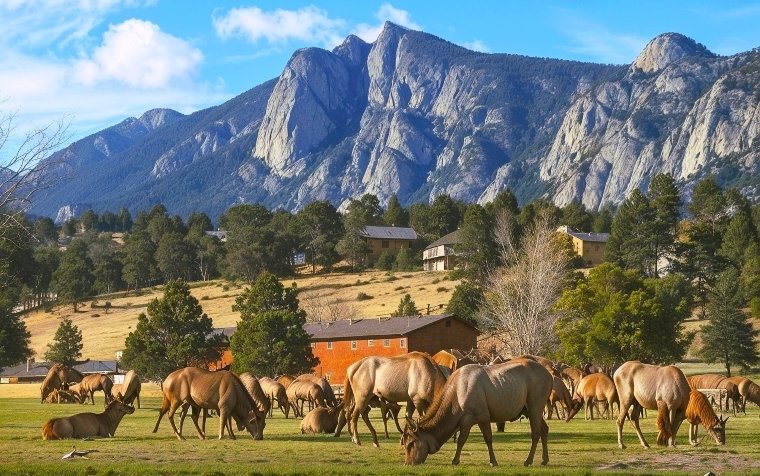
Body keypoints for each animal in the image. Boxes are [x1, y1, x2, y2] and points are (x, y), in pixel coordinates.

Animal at [402, 359, 553, 467]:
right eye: (404, 443)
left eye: (411, 443)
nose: (408, 463)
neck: (455, 400)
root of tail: (550, 376)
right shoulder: (474, 419)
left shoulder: (479, 416)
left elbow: (471, 439)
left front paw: (458, 460)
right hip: (529, 409)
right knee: (545, 429)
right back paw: (544, 460)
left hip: (535, 405)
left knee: (536, 433)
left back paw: (528, 461)